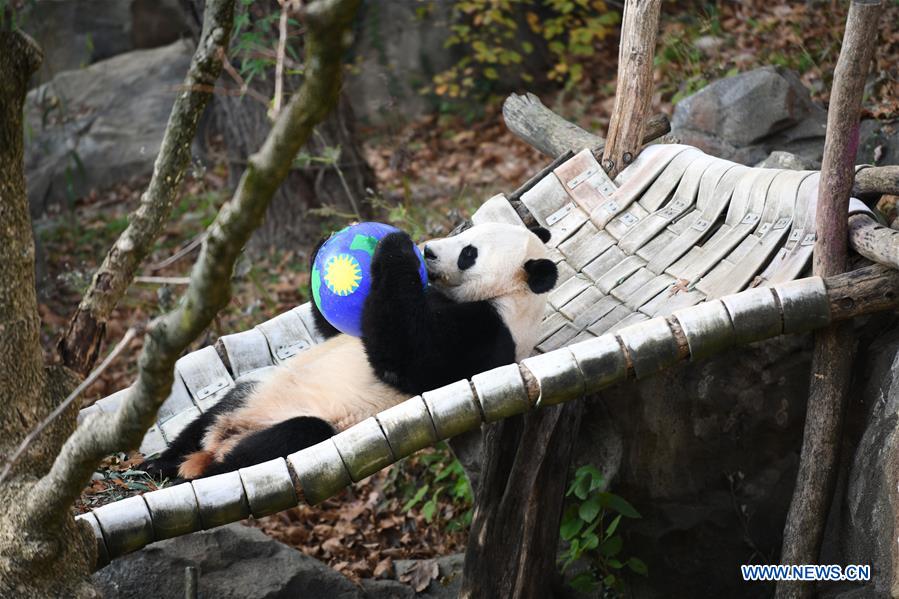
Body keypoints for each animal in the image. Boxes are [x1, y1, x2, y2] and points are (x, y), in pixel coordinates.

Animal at [144, 223, 560, 480]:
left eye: (469, 253)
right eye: (465, 232)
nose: (428, 250)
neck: (511, 297)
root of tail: (219, 443)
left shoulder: (486, 335)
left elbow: (410, 359)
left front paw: (393, 247)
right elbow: (333, 329)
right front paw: (330, 238)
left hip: (301, 423)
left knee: (290, 437)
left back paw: (203, 472)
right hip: (252, 394)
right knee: (205, 420)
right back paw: (159, 466)